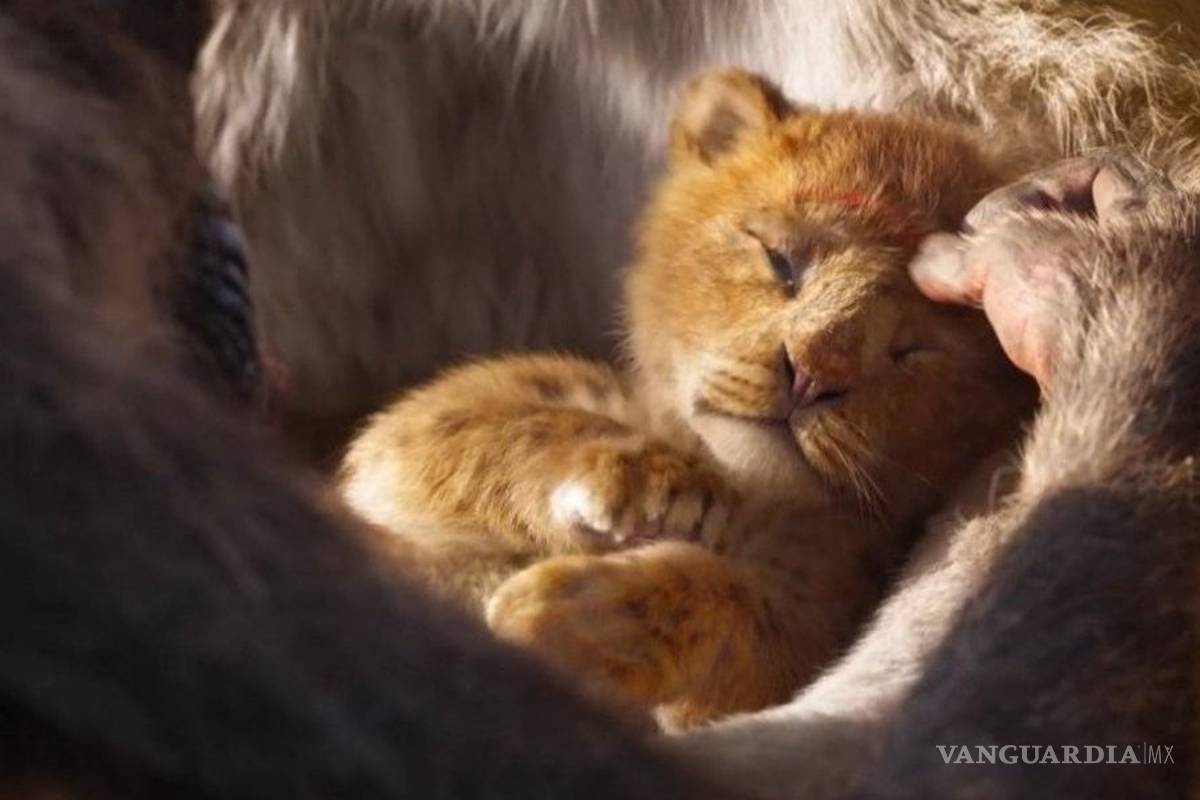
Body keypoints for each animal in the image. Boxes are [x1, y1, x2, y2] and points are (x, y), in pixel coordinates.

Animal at [339, 68, 1036, 729]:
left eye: (915, 349)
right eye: (782, 261)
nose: (810, 374)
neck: (747, 487)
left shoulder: (821, 606)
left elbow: (747, 613)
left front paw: (576, 617)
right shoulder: (397, 447)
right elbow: (502, 430)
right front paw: (651, 481)